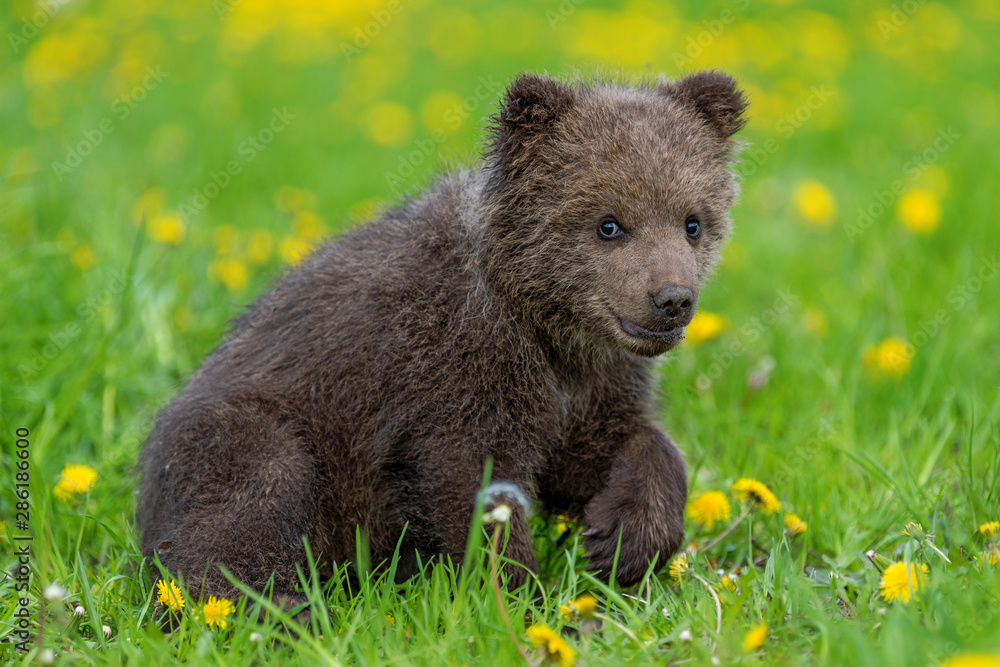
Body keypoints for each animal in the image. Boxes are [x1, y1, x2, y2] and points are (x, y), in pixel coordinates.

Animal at [137, 70, 748, 608]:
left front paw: (623, 542)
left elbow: (627, 445)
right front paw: (517, 599)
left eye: (692, 221)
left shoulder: (590, 387)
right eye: (609, 223)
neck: (546, 328)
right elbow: (469, 488)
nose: (672, 299)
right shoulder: (452, 375)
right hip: (245, 431)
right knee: (252, 495)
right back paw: (280, 607)